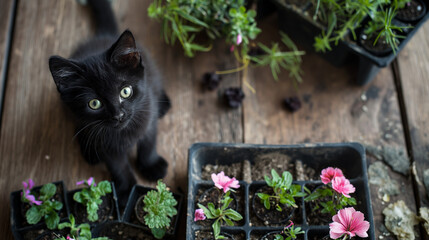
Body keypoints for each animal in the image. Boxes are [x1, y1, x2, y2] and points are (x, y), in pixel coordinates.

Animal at [48, 0, 169, 204]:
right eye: (94, 103)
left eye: (125, 91)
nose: (118, 115)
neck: (123, 133)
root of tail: (105, 36)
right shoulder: (107, 146)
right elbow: (118, 166)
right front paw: (126, 189)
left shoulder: (148, 114)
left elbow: (148, 143)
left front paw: (151, 165)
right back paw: (88, 151)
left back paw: (164, 103)